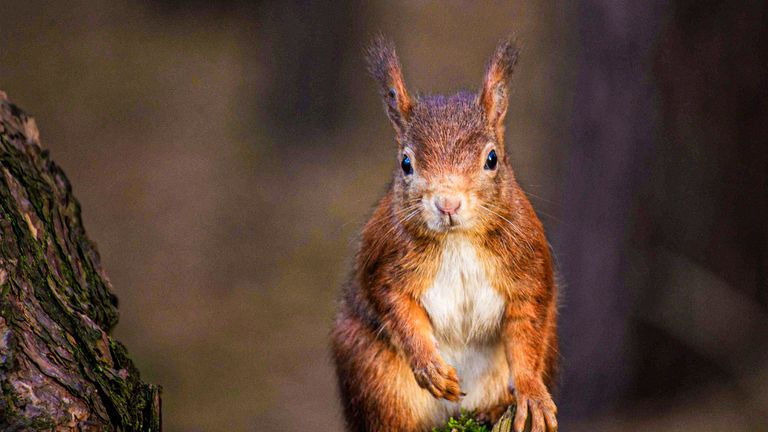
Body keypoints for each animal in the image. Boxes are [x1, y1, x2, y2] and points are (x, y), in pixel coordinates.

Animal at [330, 37, 560, 432]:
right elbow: (396, 307)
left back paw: (492, 410)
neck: (458, 241)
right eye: (406, 163)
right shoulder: (385, 261)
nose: (448, 203)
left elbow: (527, 333)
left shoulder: (527, 266)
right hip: (369, 368)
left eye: (492, 158)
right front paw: (430, 367)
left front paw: (532, 394)